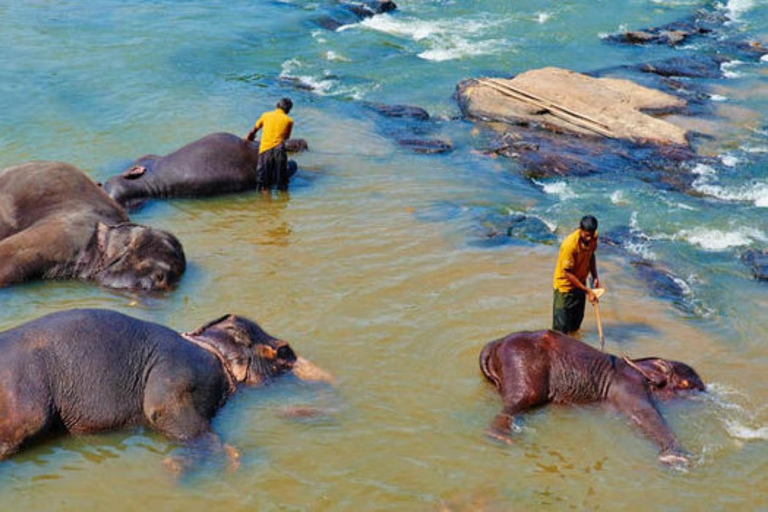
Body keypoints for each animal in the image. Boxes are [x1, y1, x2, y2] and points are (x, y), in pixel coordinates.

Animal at [0, 310, 332, 462]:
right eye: (284, 353)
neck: (211, 346)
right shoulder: (181, 370)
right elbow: (161, 411)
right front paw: (230, 461)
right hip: (26, 399)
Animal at [480, 330, 708, 466]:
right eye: (686, 385)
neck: (642, 365)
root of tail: (495, 344)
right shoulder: (628, 385)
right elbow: (643, 414)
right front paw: (676, 459)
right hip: (520, 361)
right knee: (522, 399)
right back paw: (499, 437)